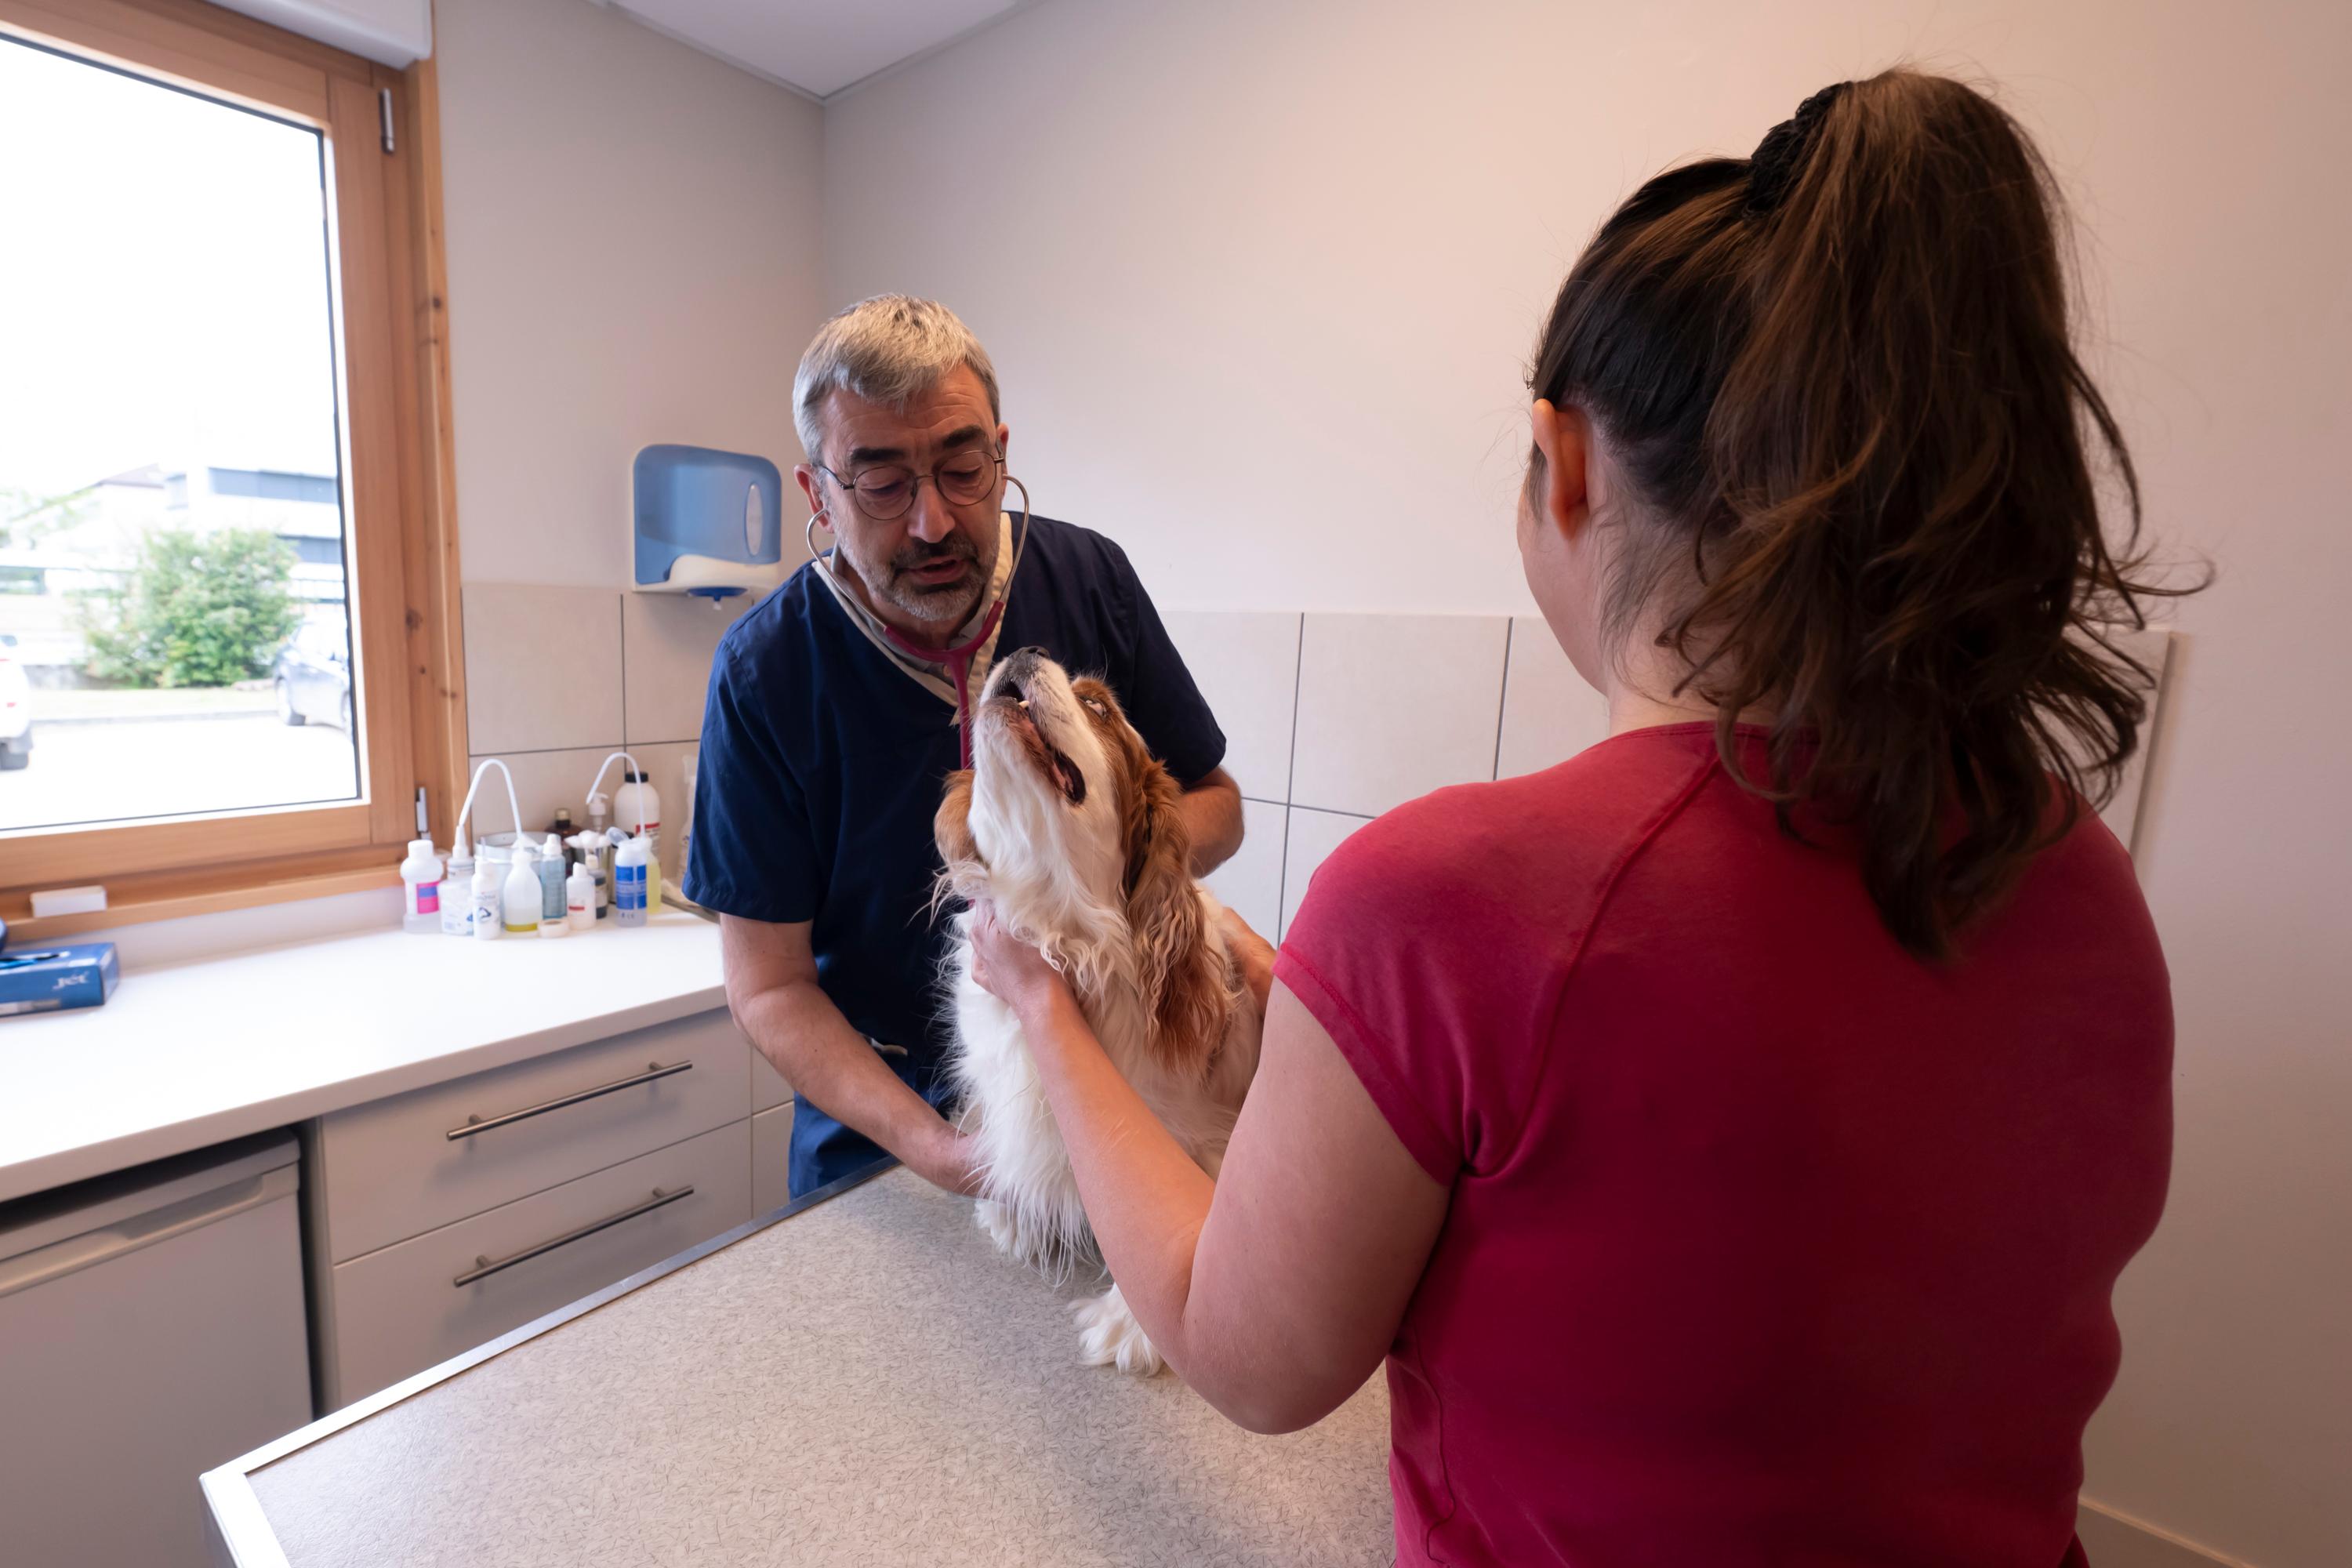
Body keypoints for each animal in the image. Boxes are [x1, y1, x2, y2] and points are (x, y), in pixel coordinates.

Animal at [936, 648, 1270, 1373]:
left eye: (1097, 707)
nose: (1024, 650)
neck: (1060, 935)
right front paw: (1013, 1210)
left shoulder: (1203, 1132)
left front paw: (1130, 1322)